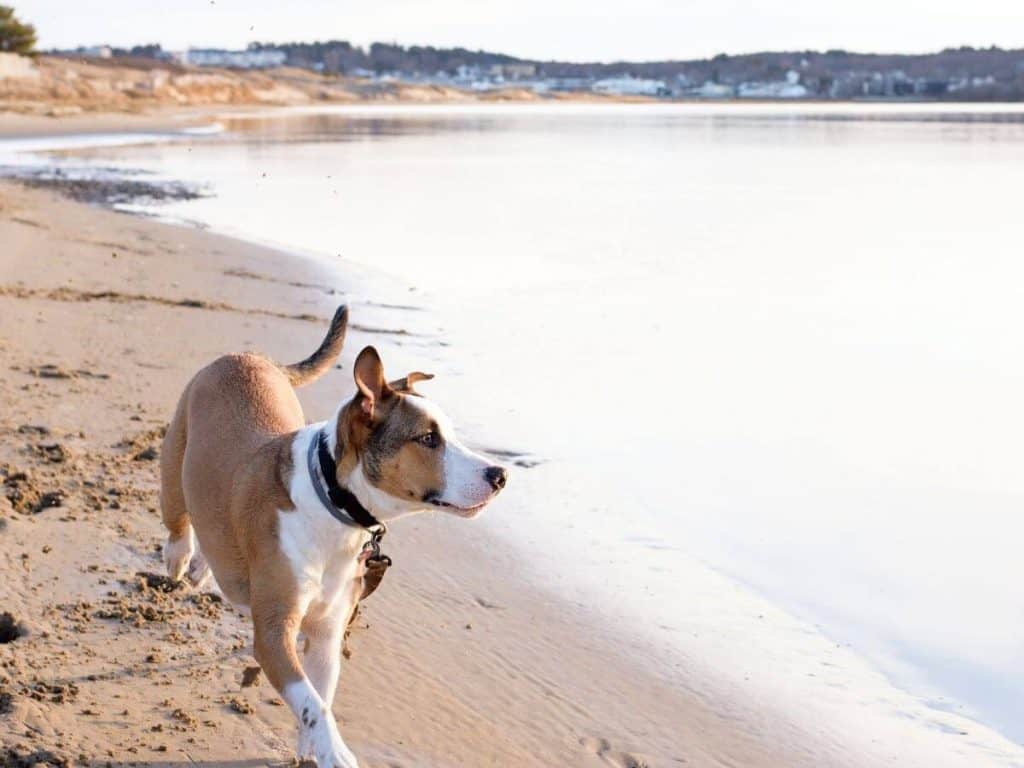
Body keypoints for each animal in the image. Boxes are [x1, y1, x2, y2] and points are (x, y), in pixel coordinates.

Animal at [158, 307, 507, 768]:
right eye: (428, 439)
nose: (500, 475)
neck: (332, 505)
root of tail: (248, 357)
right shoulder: (273, 633)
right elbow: (313, 703)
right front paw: (336, 751)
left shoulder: (326, 631)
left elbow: (319, 698)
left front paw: (313, 749)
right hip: (174, 462)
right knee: (179, 517)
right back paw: (181, 557)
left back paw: (202, 566)